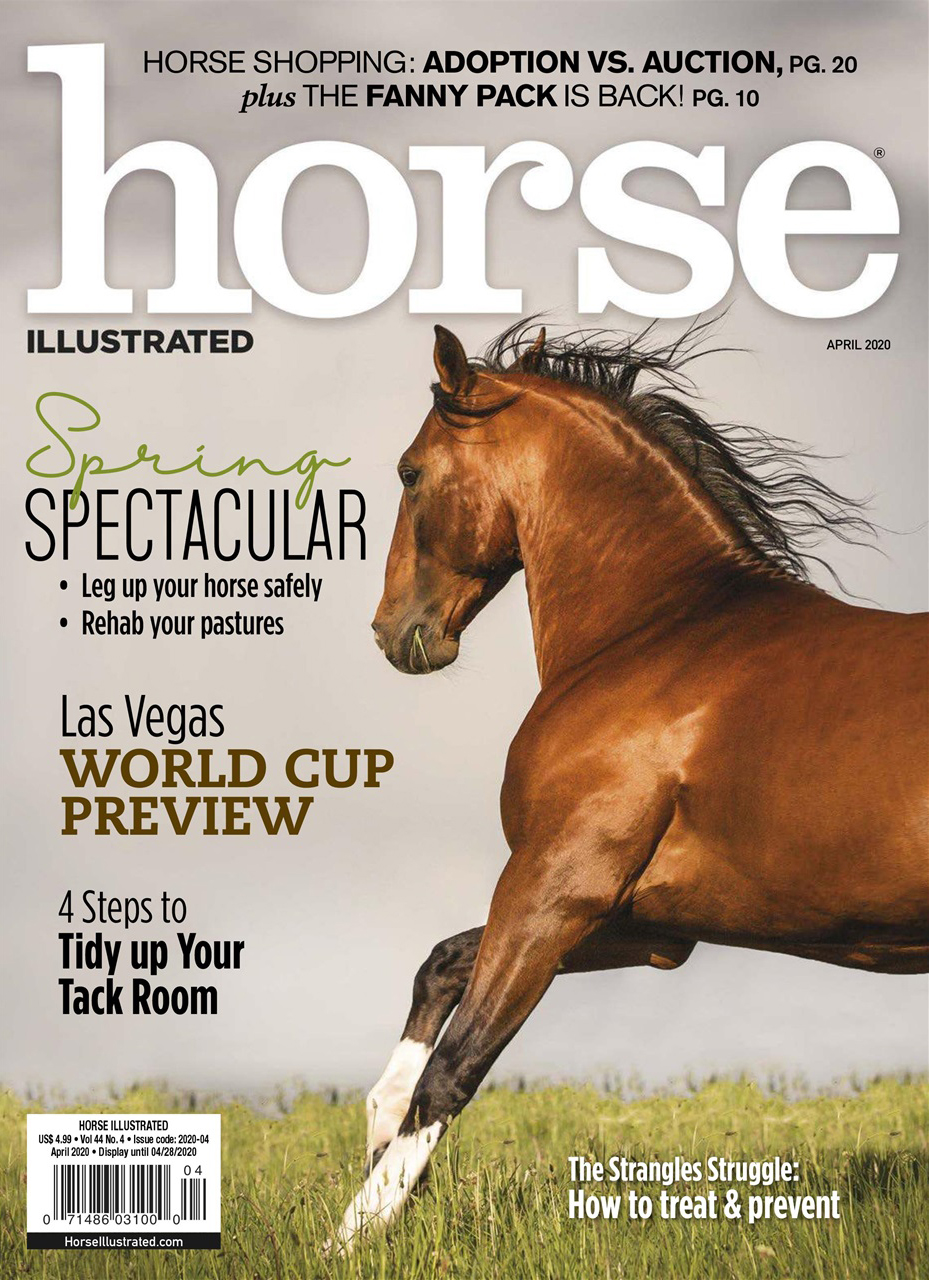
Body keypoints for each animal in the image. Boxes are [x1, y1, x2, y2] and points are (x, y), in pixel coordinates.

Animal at [334, 320, 928, 1248]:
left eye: (409, 471)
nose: (394, 632)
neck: (655, 630)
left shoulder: (554, 888)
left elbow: (457, 1067)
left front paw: (353, 1232)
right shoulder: (645, 923)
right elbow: (441, 968)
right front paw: (383, 1147)